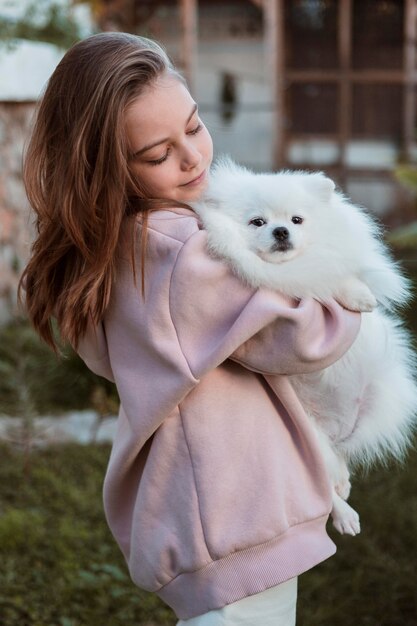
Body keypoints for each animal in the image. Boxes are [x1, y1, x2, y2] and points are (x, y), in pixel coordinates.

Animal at [192, 158, 416, 532]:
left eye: (296, 220)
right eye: (258, 222)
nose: (281, 231)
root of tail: (334, 427)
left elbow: (331, 273)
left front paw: (358, 294)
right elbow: (312, 284)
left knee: (339, 458)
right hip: (306, 431)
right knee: (325, 479)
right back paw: (344, 514)